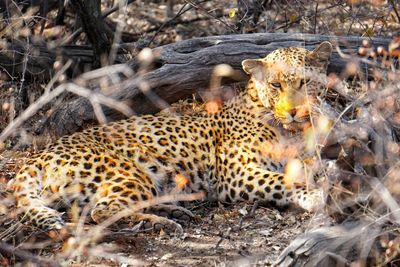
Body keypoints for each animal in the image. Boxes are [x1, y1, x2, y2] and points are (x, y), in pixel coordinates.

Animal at [7, 40, 332, 233]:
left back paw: (176, 211)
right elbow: (285, 181)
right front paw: (315, 196)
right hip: (129, 172)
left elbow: (315, 171)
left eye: (305, 83)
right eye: (276, 85)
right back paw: (161, 222)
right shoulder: (236, 176)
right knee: (103, 211)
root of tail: (41, 154)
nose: (294, 111)